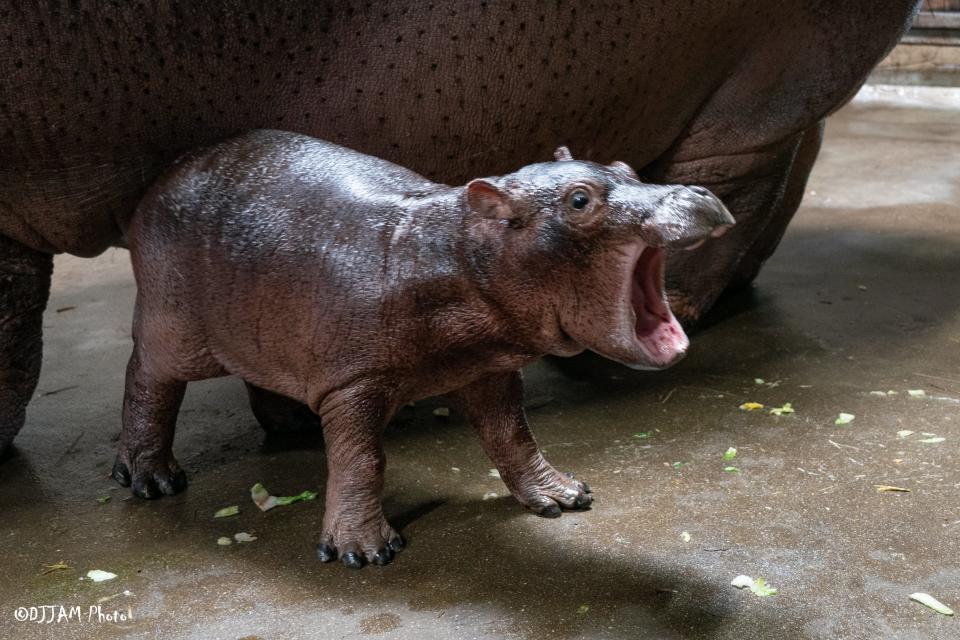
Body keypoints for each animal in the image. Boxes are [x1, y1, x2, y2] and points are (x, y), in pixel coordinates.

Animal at [118, 129, 736, 564]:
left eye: (625, 167)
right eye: (579, 200)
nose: (698, 193)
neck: (460, 252)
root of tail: (167, 173)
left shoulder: (486, 370)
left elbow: (513, 435)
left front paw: (564, 496)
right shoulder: (354, 385)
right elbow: (361, 460)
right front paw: (363, 551)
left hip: (261, 325)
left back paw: (294, 425)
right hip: (175, 328)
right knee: (146, 378)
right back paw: (153, 480)